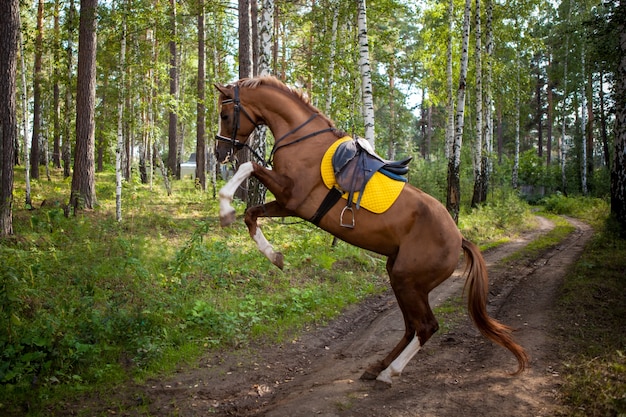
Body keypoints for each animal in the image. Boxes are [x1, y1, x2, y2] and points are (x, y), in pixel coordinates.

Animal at [212, 75, 524, 384]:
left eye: (225, 115)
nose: (220, 153)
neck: (303, 140)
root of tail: (459, 238)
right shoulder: (289, 205)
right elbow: (251, 215)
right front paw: (274, 255)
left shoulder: (291, 195)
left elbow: (249, 168)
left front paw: (225, 208)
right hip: (399, 278)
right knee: (411, 326)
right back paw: (377, 367)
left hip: (409, 281)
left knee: (426, 326)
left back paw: (389, 372)